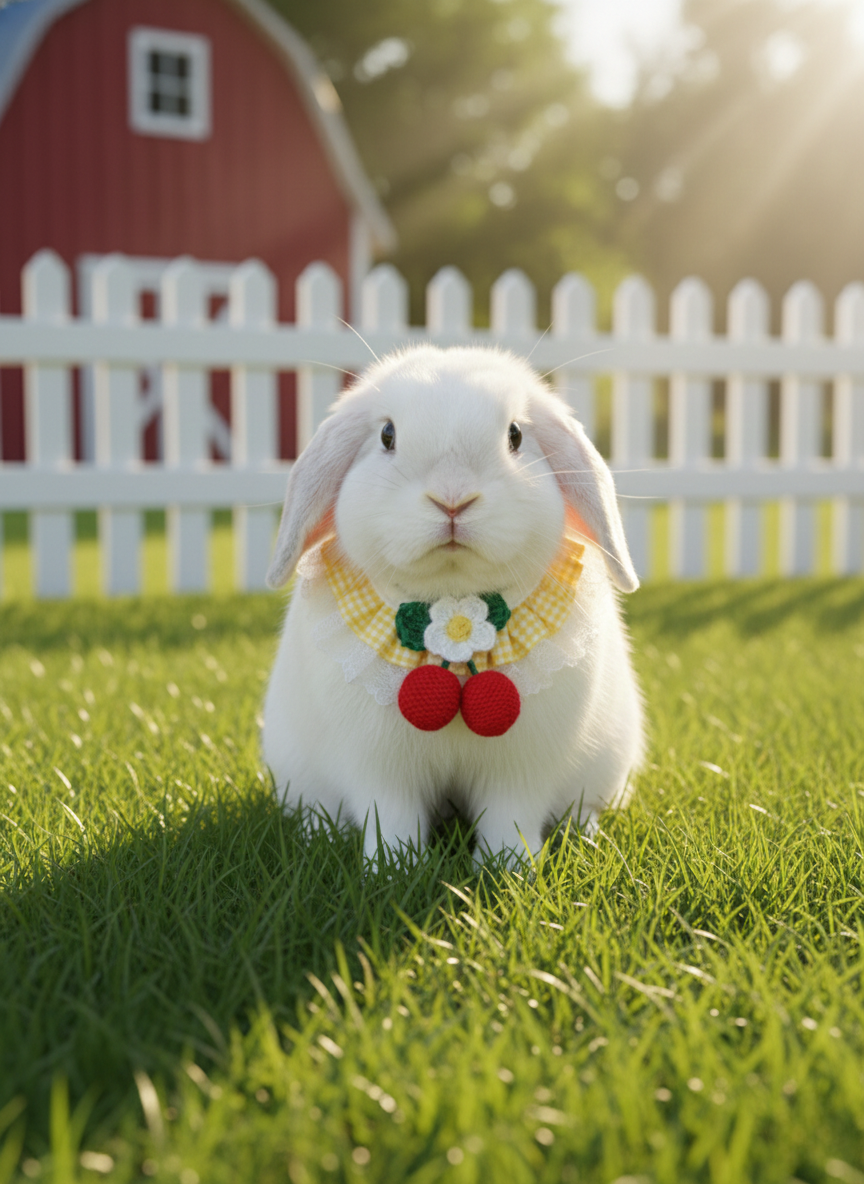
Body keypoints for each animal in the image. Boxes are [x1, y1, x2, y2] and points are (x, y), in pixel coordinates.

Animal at [263, 345, 644, 864]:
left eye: (515, 435)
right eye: (387, 435)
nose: (452, 498)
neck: (453, 605)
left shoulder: (519, 773)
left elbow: (509, 818)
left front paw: (511, 868)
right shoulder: (379, 769)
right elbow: (391, 818)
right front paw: (393, 868)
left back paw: (583, 834)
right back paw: (317, 834)